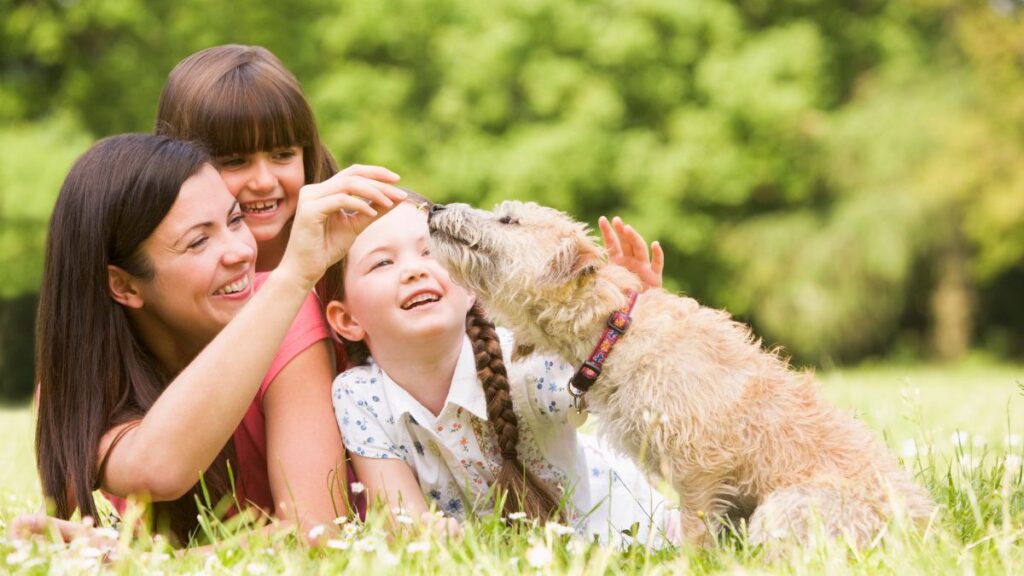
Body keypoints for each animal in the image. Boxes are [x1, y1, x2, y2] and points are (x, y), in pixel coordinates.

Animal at [428, 200, 933, 545]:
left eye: (508, 221)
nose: (435, 207)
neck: (615, 329)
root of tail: (923, 527)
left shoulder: (700, 467)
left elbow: (694, 534)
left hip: (783, 508)